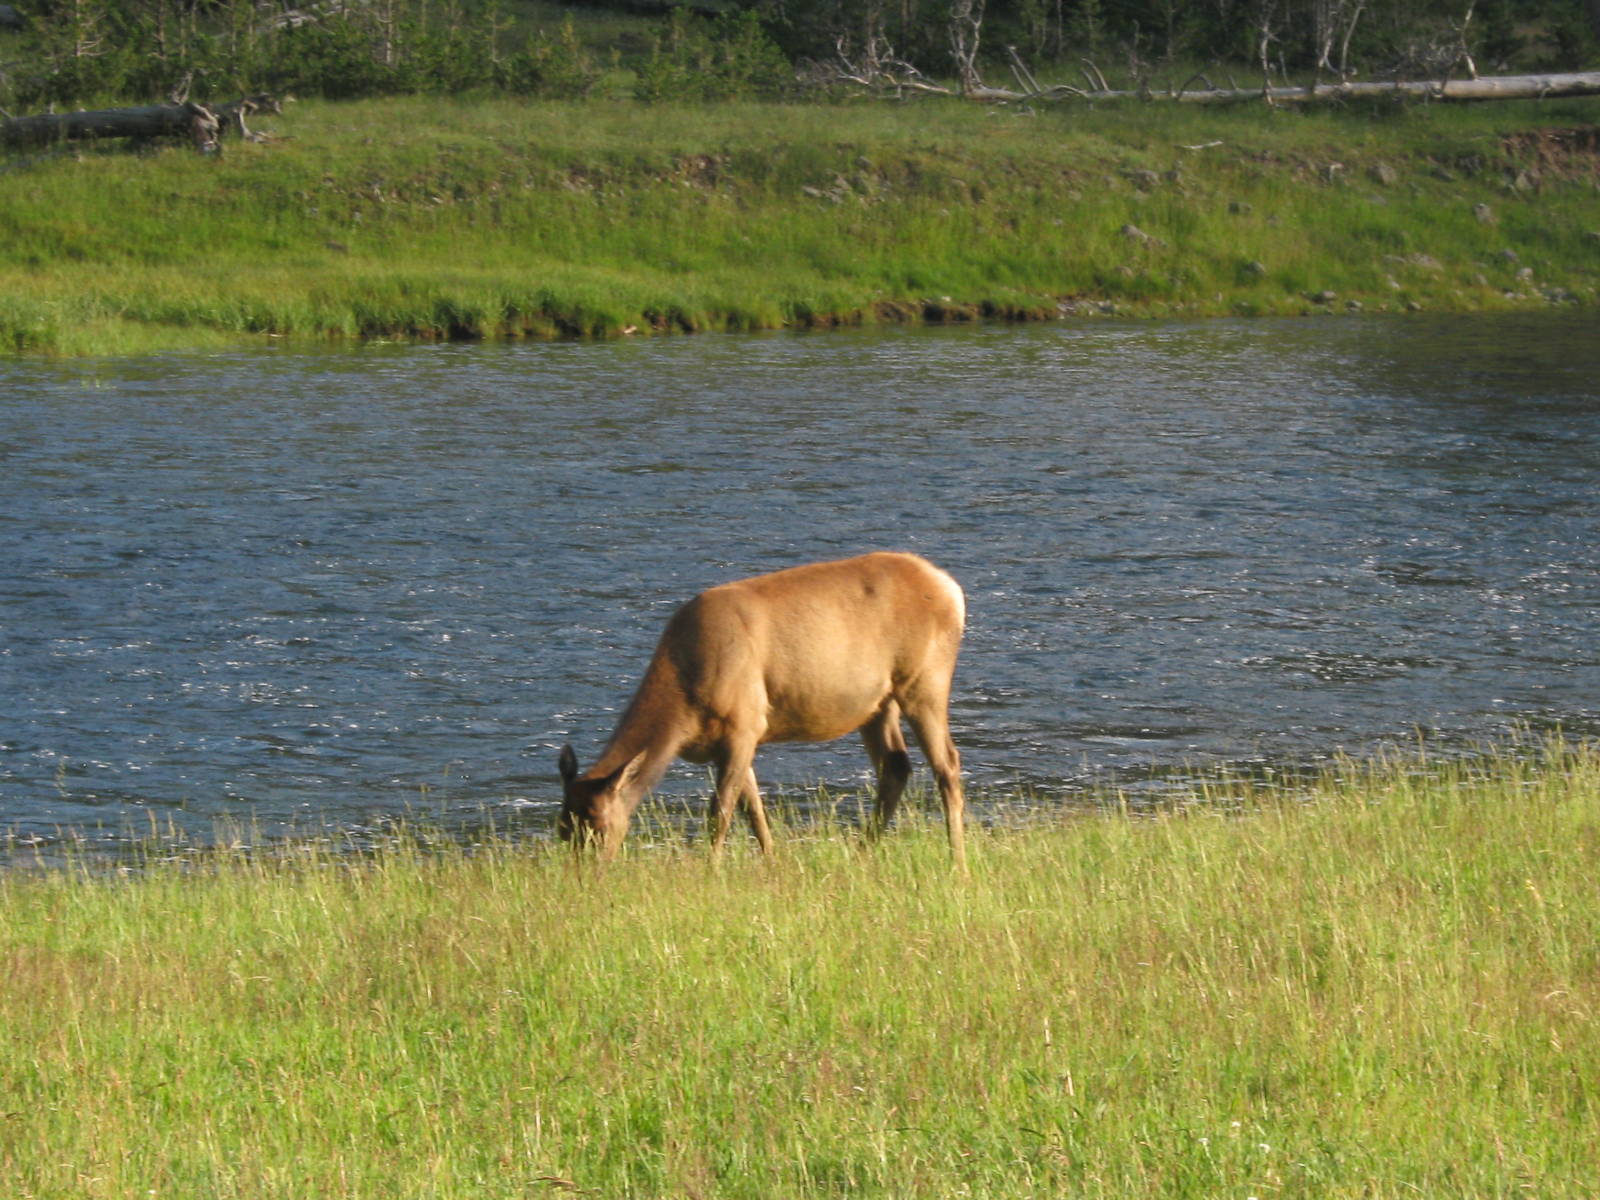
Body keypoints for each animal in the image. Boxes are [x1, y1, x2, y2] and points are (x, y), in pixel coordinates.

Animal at [557, 552, 967, 869]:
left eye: (599, 824)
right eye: (562, 827)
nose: (584, 876)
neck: (684, 709)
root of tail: (953, 590)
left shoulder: (744, 723)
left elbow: (720, 812)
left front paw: (711, 870)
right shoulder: (732, 738)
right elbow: (752, 810)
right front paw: (771, 864)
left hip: (925, 680)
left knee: (947, 764)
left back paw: (957, 863)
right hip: (878, 703)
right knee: (896, 766)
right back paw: (863, 852)